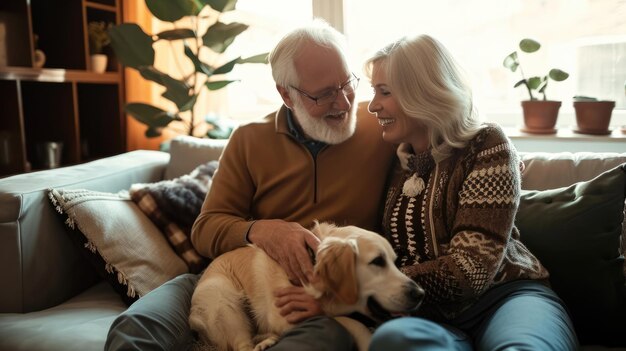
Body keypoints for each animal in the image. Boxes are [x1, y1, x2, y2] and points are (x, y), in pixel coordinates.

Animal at [189, 223, 424, 351]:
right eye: (377, 261)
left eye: (394, 262)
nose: (420, 294)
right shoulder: (285, 315)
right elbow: (351, 322)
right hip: (225, 302)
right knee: (242, 345)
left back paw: (268, 341)